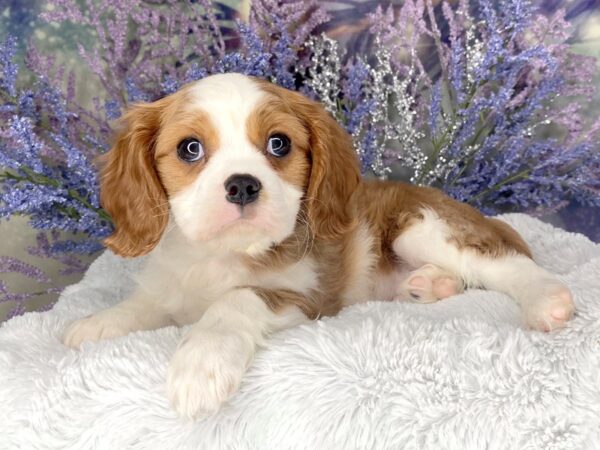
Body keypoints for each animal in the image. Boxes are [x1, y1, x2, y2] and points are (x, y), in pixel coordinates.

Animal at [63, 73, 576, 418]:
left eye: (279, 144)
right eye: (191, 148)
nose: (243, 185)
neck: (223, 255)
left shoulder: (308, 298)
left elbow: (236, 299)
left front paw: (201, 363)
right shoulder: (170, 285)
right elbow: (143, 304)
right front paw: (95, 325)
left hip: (423, 227)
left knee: (507, 262)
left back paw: (547, 299)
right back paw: (429, 286)